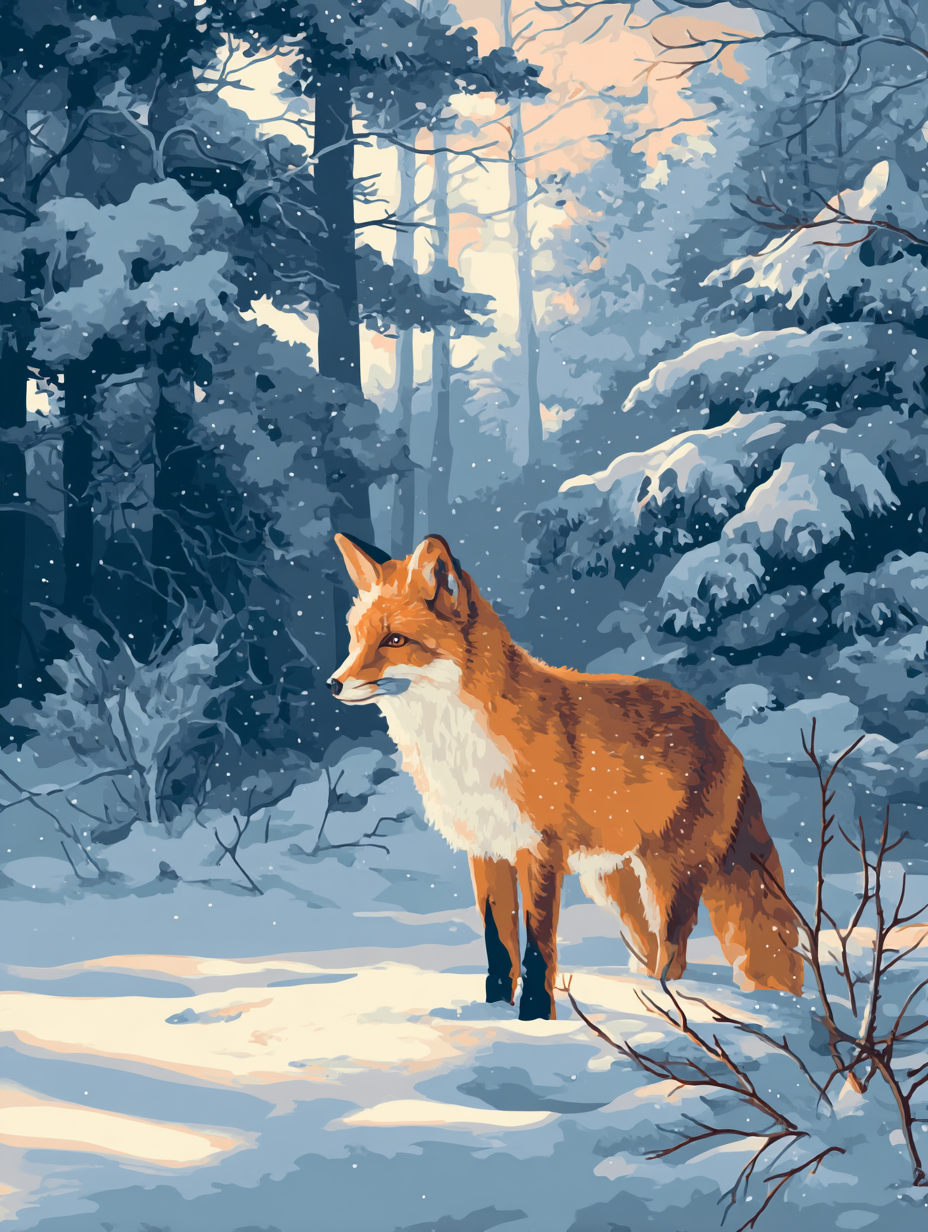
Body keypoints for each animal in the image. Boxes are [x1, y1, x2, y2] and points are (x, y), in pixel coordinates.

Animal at [328, 533, 802, 1020]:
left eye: (395, 640)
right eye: (356, 639)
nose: (333, 683)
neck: (460, 745)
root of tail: (719, 729)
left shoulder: (538, 850)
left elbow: (538, 949)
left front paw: (537, 1019)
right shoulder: (486, 851)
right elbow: (497, 945)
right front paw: (494, 1013)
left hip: (668, 880)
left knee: (673, 954)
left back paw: (667, 1006)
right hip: (613, 887)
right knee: (651, 950)